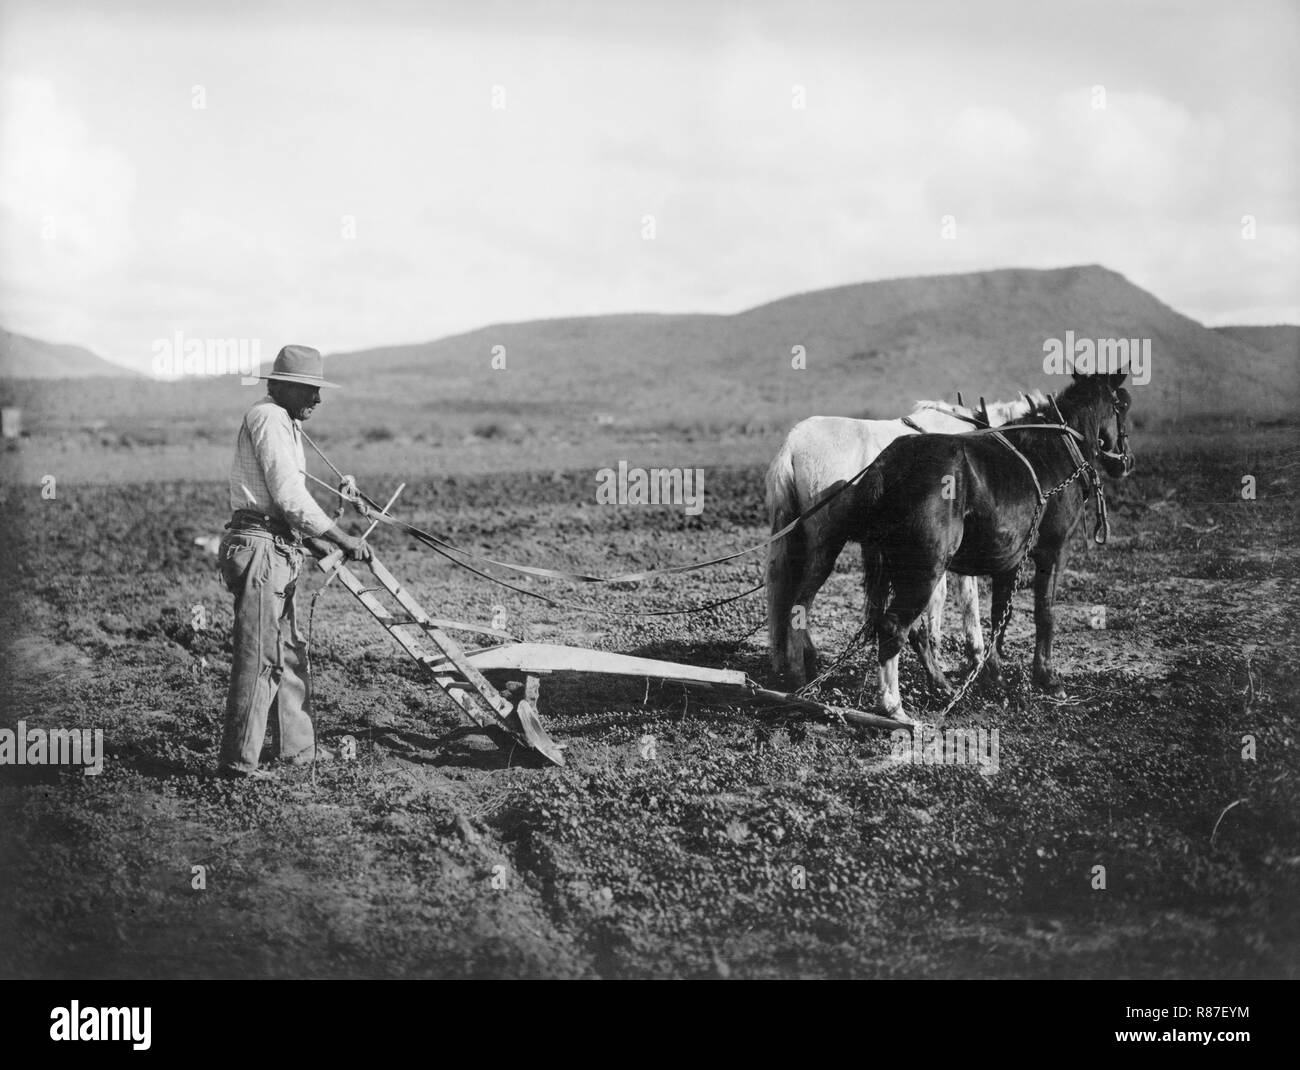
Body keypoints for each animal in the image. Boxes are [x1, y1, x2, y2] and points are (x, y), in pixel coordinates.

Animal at [759, 392, 1045, 686]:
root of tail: (793, 444)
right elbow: (963, 597)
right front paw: (969, 656)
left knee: (784, 591)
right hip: (826, 545)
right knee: (799, 601)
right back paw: (800, 671)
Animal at [847, 371, 1133, 717]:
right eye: (1122, 405)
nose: (1126, 462)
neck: (1057, 449)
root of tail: (891, 464)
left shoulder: (1010, 559)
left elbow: (1000, 617)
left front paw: (993, 674)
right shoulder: (1053, 551)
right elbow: (1044, 612)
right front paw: (1047, 677)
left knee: (913, 631)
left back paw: (942, 687)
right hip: (925, 571)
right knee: (894, 627)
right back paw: (893, 704)